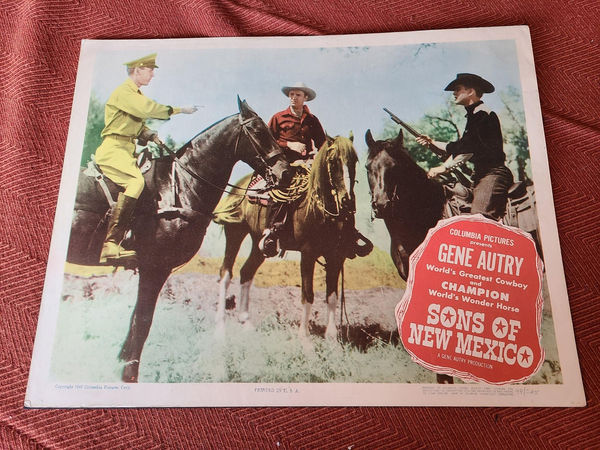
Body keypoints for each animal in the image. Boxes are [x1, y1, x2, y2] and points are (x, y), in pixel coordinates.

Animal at [67, 99, 290, 384]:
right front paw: (130, 373)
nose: (285, 173)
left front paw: (121, 364)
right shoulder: (154, 268)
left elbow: (134, 319)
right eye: (259, 131)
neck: (180, 186)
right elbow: (143, 320)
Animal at [213, 135, 358, 340]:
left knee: (246, 272)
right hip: (235, 232)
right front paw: (304, 338)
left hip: (260, 244)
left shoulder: (337, 256)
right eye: (333, 161)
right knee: (225, 273)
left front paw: (332, 338)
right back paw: (220, 327)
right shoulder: (308, 253)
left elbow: (332, 296)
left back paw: (246, 322)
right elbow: (308, 294)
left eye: (354, 161)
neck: (321, 211)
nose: (347, 201)